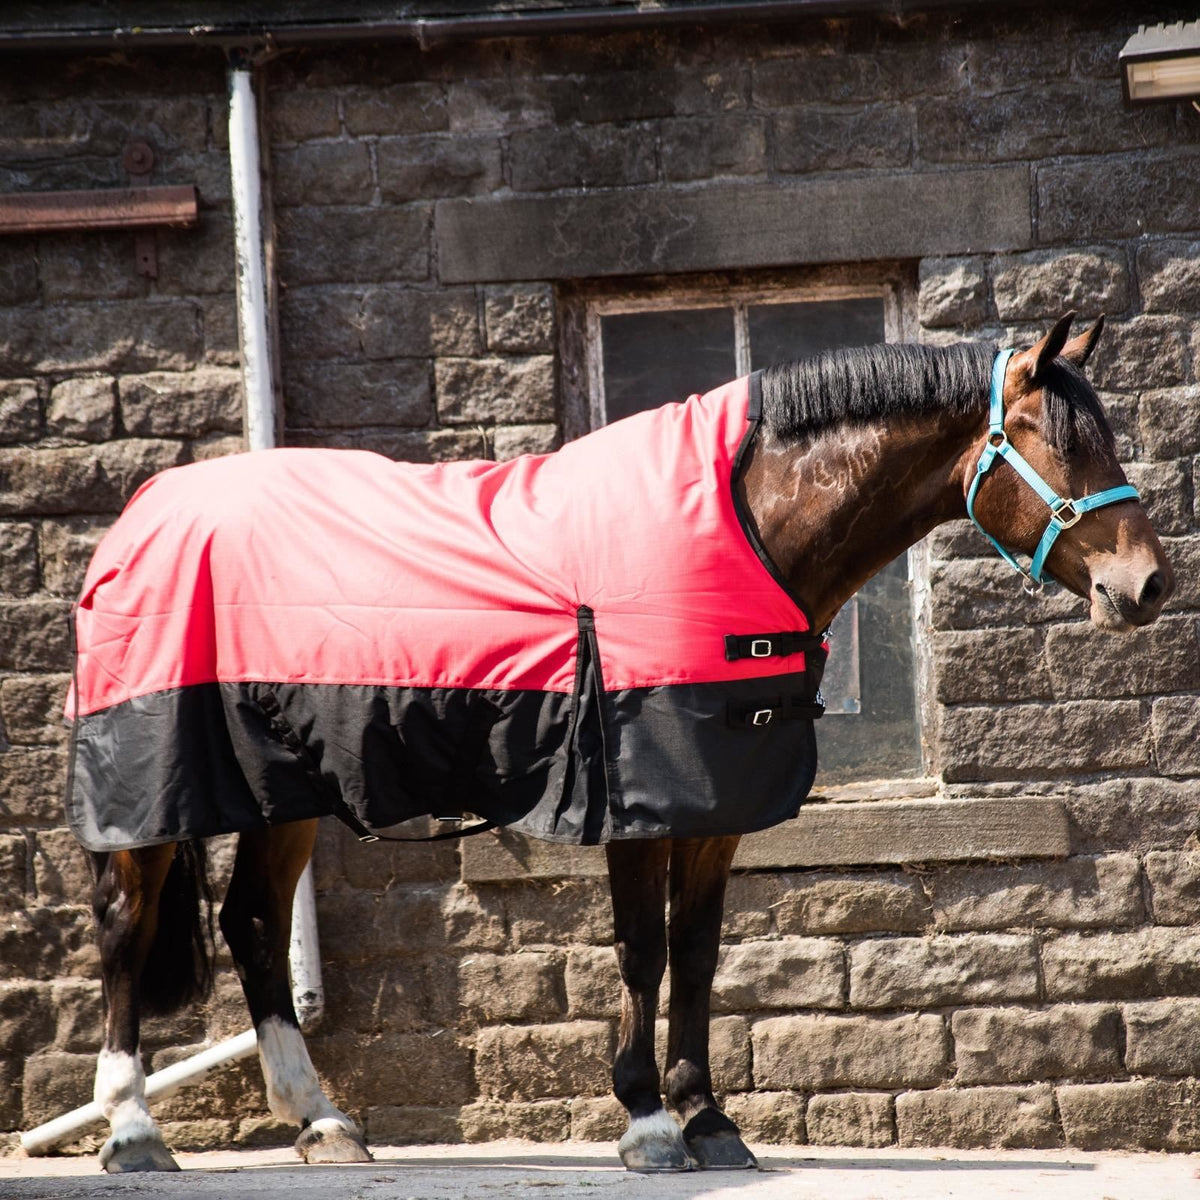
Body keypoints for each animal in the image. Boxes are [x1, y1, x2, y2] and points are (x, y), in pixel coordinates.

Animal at [73, 313, 1172, 1173]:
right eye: (1063, 444)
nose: (1148, 584)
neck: (740, 530)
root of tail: (143, 517)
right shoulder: (641, 795)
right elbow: (643, 947)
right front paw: (647, 1120)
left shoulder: (718, 804)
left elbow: (697, 950)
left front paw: (710, 1118)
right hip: (151, 786)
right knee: (127, 929)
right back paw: (132, 1132)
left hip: (286, 788)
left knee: (256, 926)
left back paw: (322, 1122)